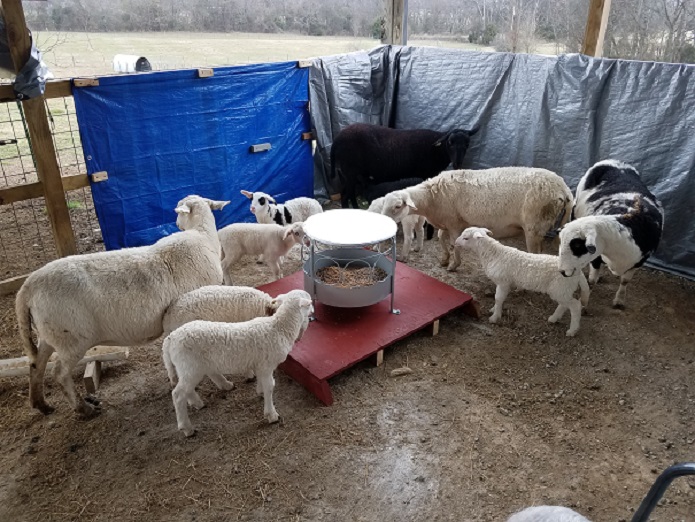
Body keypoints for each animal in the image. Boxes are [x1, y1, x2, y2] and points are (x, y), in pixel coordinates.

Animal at [162, 288, 314, 434]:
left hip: (193, 367)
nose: (313, 311)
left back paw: (201, 400)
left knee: (190, 385)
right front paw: (271, 414)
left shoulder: (259, 364)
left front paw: (260, 392)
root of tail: (170, 339)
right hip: (190, 366)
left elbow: (262, 382)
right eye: (310, 303)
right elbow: (270, 386)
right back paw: (187, 427)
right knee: (178, 394)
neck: (279, 327)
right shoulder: (266, 365)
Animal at [328, 123, 476, 208]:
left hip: (348, 174)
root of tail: (336, 139)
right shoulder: (426, 175)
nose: (458, 163)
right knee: (345, 196)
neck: (437, 150)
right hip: (349, 172)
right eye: (450, 143)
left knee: (348, 194)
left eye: (467, 144)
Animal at [380, 167, 572, 270]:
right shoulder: (445, 222)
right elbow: (441, 238)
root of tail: (564, 190)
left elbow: (454, 243)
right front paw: (444, 259)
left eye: (397, 206)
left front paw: (454, 265)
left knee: (535, 254)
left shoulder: (455, 224)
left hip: (534, 227)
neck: (431, 197)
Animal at [456, 225, 592, 336]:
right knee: (564, 304)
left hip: (561, 287)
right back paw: (554, 318)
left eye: (466, 238)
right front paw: (494, 310)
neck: (493, 254)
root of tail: (578, 272)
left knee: (575, 306)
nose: (456, 242)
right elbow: (498, 299)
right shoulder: (503, 283)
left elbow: (498, 298)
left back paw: (572, 330)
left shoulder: (503, 282)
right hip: (562, 289)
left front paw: (495, 317)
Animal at [556, 160, 668, 306]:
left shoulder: (638, 262)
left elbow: (625, 281)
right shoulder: (596, 257)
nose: (562, 271)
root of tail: (613, 161)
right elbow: (591, 282)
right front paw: (584, 304)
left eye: (577, 246)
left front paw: (619, 301)